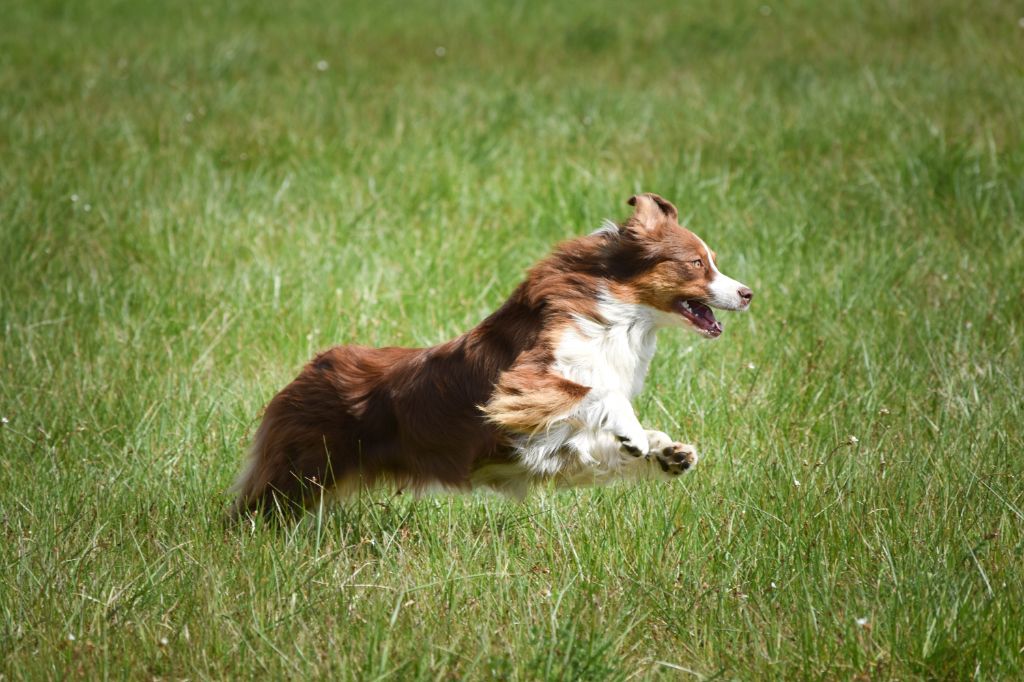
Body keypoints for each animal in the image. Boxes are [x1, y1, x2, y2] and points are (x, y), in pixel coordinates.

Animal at [232, 193, 753, 518]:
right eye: (697, 263)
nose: (749, 293)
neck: (619, 317)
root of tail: (309, 368)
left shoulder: (550, 451)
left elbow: (599, 447)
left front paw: (668, 452)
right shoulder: (520, 388)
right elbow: (599, 392)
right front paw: (633, 430)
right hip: (299, 471)